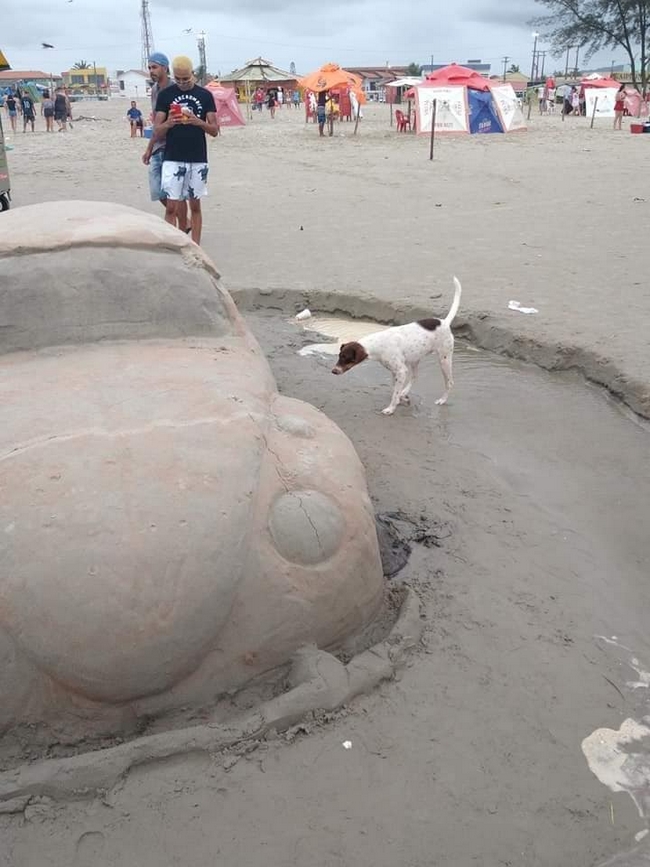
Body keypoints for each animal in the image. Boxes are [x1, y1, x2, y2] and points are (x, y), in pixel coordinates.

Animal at [330, 276, 460, 416]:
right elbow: (395, 389)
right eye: (339, 356)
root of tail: (445, 322)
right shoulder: (396, 371)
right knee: (415, 376)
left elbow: (395, 392)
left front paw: (391, 408)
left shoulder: (401, 371)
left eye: (345, 358)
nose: (333, 371)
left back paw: (442, 400)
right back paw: (405, 392)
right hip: (414, 359)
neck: (377, 345)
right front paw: (401, 398)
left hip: (444, 360)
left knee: (450, 382)